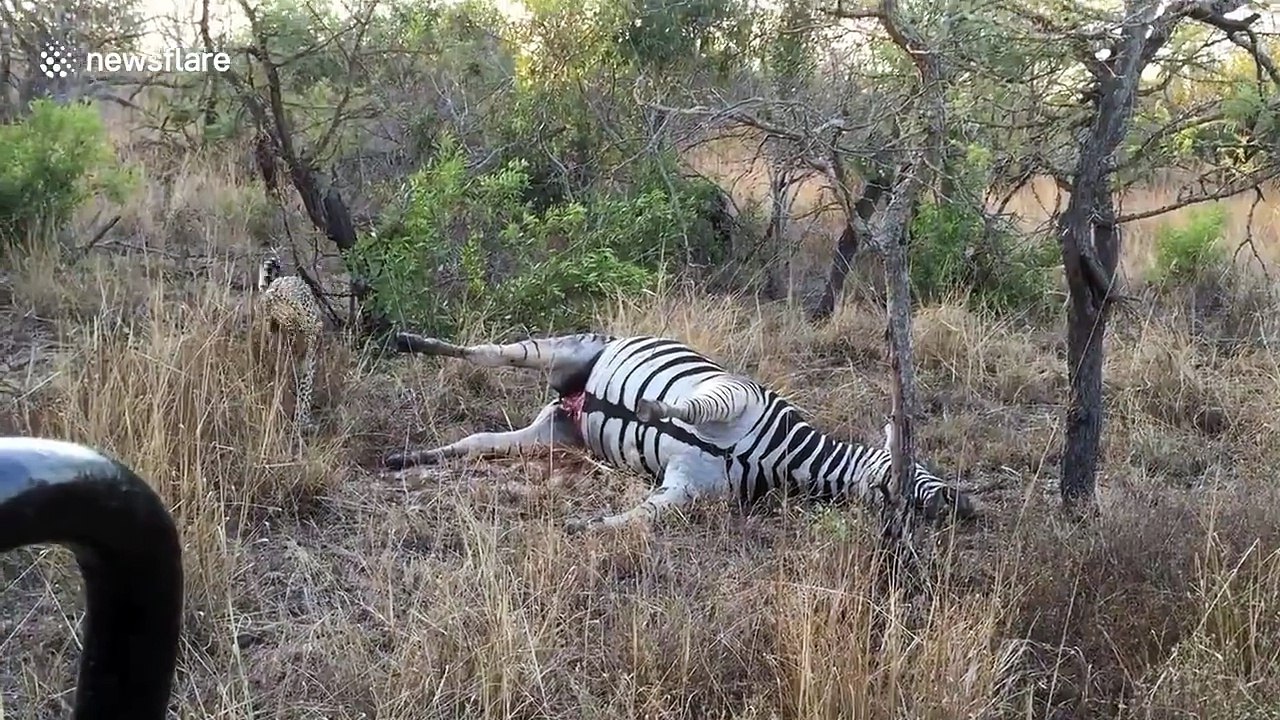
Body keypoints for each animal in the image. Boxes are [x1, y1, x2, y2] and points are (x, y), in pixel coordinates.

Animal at [382, 332, 978, 533]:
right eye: (920, 468)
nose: (967, 506)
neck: (782, 456)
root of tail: (569, 398)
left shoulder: (688, 488)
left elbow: (640, 517)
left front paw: (584, 526)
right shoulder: (736, 393)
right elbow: (690, 405)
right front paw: (649, 407)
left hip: (554, 431)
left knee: (477, 444)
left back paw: (407, 459)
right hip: (562, 349)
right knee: (485, 351)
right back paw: (405, 340)